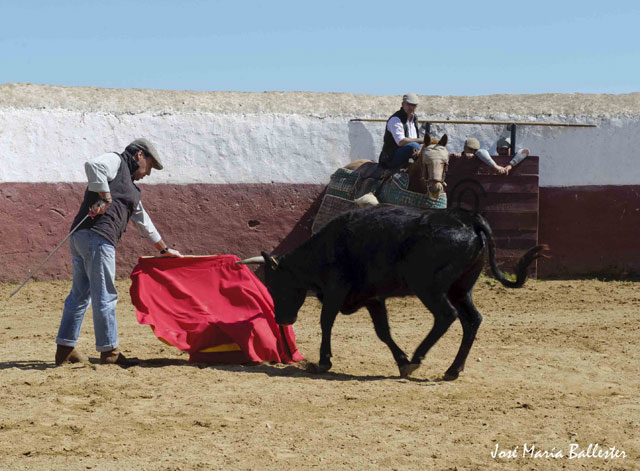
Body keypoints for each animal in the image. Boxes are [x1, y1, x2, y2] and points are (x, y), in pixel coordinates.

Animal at [244, 206, 544, 380]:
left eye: (274, 285)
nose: (281, 319)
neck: (323, 250)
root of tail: (469, 219)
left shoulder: (335, 291)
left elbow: (326, 321)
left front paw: (322, 362)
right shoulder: (374, 299)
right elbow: (383, 331)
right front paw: (400, 360)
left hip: (428, 286)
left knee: (447, 316)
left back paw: (419, 358)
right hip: (461, 288)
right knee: (472, 319)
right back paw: (451, 370)